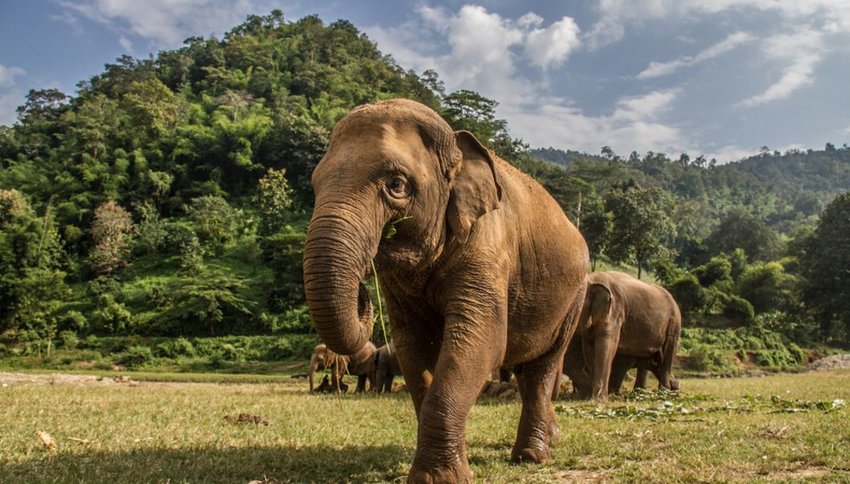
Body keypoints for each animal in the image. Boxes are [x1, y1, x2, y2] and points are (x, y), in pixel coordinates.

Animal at [302, 97, 588, 480]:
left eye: (396, 184)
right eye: (315, 185)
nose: (364, 295)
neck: (455, 143)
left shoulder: (488, 247)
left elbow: (482, 341)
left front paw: (439, 479)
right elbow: (413, 346)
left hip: (574, 298)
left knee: (542, 367)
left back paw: (531, 456)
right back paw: (547, 439)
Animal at [568, 272, 684, 400]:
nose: (676, 385)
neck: (593, 278)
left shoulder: (615, 312)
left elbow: (606, 346)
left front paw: (598, 399)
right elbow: (589, 350)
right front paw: (590, 396)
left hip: (674, 324)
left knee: (667, 355)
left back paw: (663, 393)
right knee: (645, 359)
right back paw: (639, 393)